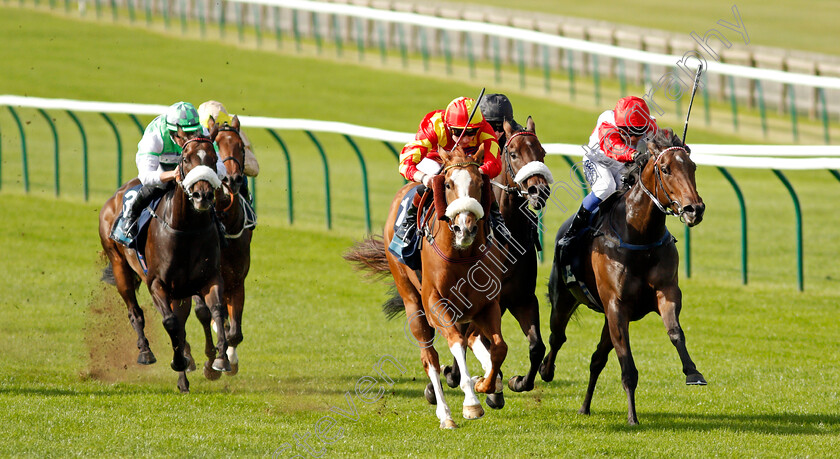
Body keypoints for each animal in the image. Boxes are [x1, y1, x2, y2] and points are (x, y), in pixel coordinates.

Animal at [99, 131, 230, 394]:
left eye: (213, 158)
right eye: (186, 159)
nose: (202, 196)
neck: (186, 229)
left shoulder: (209, 278)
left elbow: (216, 310)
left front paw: (220, 359)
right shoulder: (157, 283)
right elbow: (170, 322)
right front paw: (179, 361)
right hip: (119, 266)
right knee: (135, 311)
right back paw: (146, 352)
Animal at [346, 146, 508, 430]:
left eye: (480, 184)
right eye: (448, 184)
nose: (465, 228)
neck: (461, 254)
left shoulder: (487, 305)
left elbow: (499, 347)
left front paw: (484, 384)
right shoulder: (434, 304)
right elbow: (455, 342)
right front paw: (471, 403)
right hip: (412, 301)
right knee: (429, 358)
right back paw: (446, 414)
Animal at [442, 117, 556, 400]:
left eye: (542, 153)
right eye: (513, 153)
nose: (539, 190)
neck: (507, 239)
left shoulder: (522, 298)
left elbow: (536, 346)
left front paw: (519, 381)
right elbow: (466, 338)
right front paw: (456, 375)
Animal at [540, 127, 704, 426]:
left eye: (692, 166)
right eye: (665, 168)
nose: (694, 209)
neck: (640, 235)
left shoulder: (665, 293)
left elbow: (675, 332)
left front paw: (693, 372)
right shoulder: (617, 306)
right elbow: (627, 365)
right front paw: (632, 417)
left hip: (606, 317)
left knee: (596, 358)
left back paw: (584, 407)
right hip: (564, 299)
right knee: (557, 338)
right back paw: (538, 374)